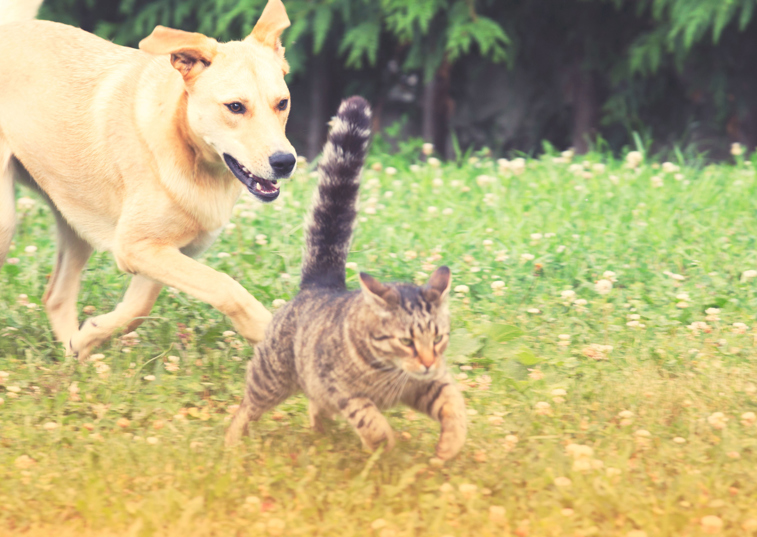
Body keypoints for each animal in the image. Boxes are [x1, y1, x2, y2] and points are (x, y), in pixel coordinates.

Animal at [0, 1, 296, 360]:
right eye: (235, 107)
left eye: (282, 103)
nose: (285, 162)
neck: (187, 150)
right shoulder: (136, 247)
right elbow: (227, 287)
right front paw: (270, 334)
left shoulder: (162, 251)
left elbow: (138, 308)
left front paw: (89, 336)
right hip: (6, 223)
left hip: (76, 223)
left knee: (56, 296)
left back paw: (76, 359)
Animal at [223, 95, 466, 456]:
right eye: (407, 342)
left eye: (437, 339)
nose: (426, 361)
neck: (390, 371)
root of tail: (321, 282)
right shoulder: (341, 389)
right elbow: (369, 418)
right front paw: (385, 445)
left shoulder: (430, 382)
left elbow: (453, 403)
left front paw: (450, 444)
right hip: (271, 378)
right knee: (246, 408)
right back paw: (231, 443)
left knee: (315, 407)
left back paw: (323, 436)